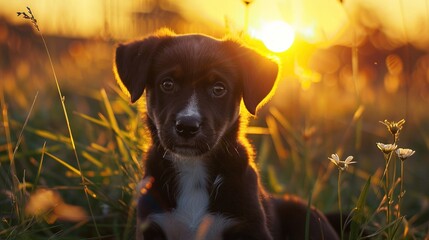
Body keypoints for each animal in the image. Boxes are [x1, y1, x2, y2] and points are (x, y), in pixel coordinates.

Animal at [113, 30, 338, 240]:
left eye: (218, 88)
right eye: (167, 84)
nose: (187, 126)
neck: (192, 167)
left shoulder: (250, 226)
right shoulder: (151, 224)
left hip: (307, 214)